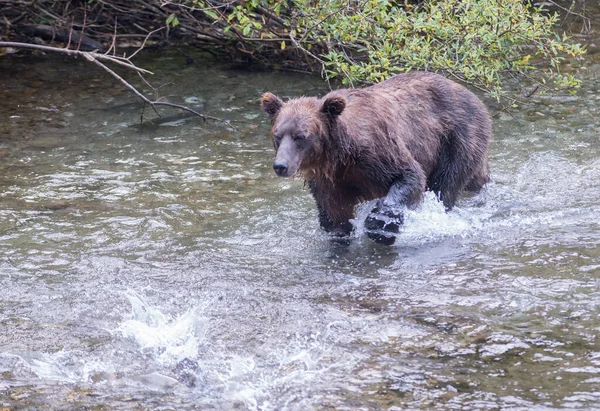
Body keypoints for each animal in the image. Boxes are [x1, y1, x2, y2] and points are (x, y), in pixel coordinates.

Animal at [262, 71, 492, 245]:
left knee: (445, 185)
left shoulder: (378, 153)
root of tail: (474, 96)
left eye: (300, 136)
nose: (281, 165)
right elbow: (336, 216)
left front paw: (380, 225)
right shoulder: (329, 181)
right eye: (277, 135)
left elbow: (410, 176)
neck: (339, 155)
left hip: (457, 138)